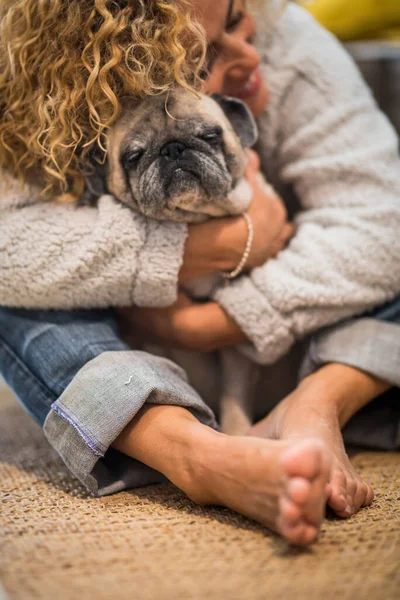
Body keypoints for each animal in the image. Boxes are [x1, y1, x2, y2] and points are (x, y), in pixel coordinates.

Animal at [86, 88, 276, 436]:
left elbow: (234, 397)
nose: (172, 149)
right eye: (133, 157)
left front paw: (236, 434)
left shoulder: (235, 347)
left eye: (210, 136)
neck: (193, 218)